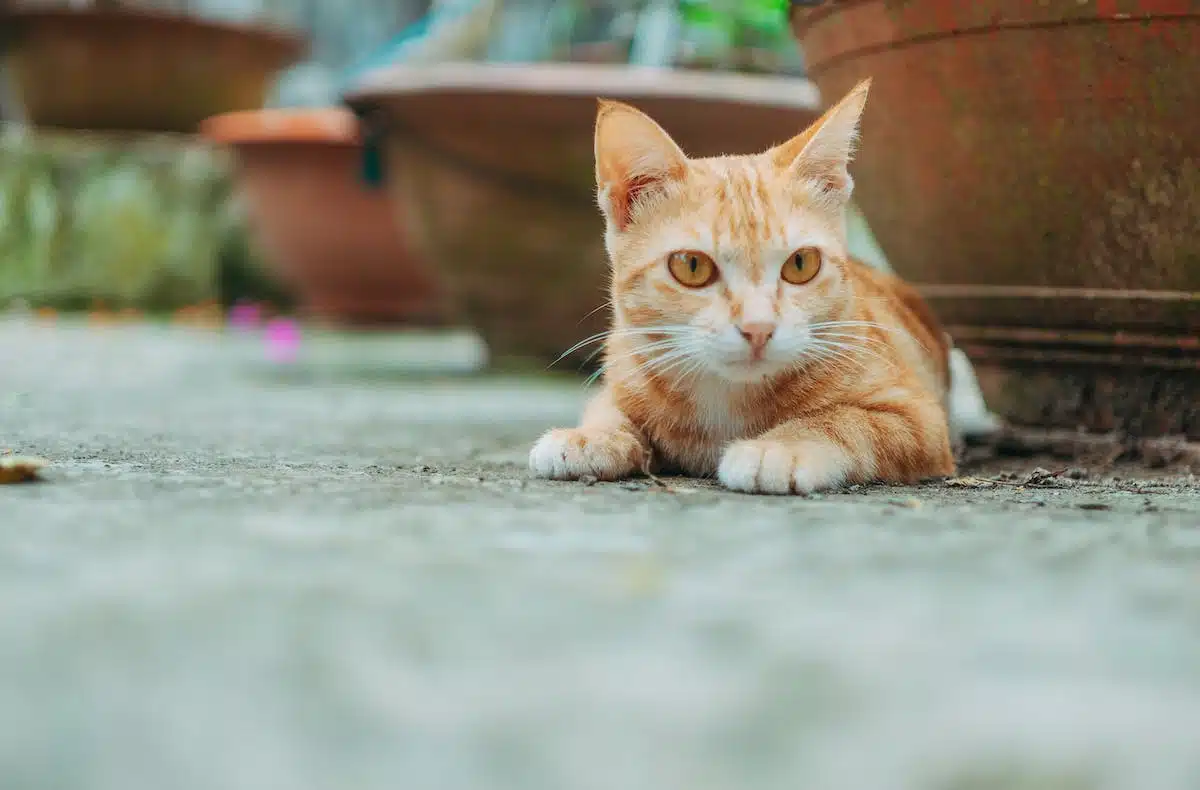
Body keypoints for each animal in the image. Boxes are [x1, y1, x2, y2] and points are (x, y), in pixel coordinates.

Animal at [528, 76, 955, 489]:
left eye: (801, 263)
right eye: (692, 266)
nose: (758, 328)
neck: (724, 397)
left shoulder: (920, 420)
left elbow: (844, 420)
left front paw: (779, 448)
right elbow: (609, 408)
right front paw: (591, 435)